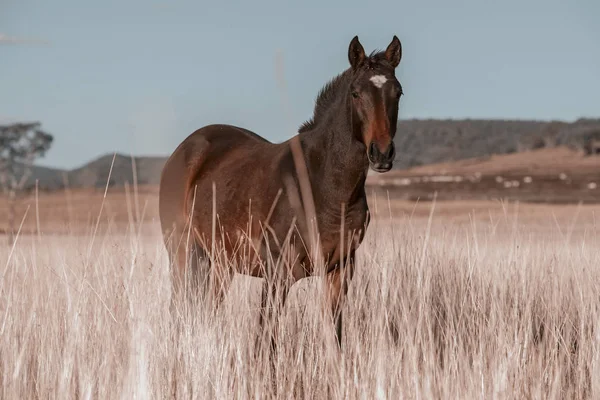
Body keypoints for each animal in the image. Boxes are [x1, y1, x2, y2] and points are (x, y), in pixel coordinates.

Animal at [158, 35, 404, 350]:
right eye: (355, 93)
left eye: (397, 93)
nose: (382, 154)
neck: (324, 185)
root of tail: (183, 151)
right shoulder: (277, 274)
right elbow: (267, 340)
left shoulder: (340, 270)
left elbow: (335, 335)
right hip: (182, 254)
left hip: (220, 263)